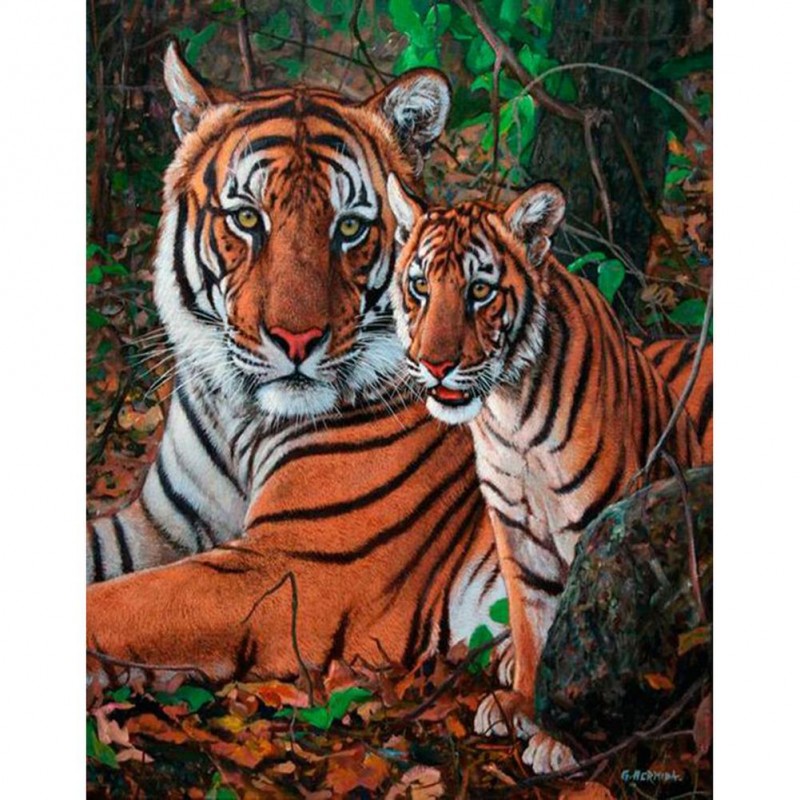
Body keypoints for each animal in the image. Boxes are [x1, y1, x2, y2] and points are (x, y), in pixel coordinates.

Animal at [86, 46, 508, 688]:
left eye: (350, 227)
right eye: (247, 219)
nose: (296, 338)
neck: (240, 416)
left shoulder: (292, 563)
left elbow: (117, 606)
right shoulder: (158, 525)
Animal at [386, 175, 712, 772]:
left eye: (480, 291)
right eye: (419, 286)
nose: (435, 364)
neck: (509, 413)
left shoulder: (599, 522)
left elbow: (588, 634)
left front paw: (562, 738)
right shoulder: (514, 525)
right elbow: (533, 616)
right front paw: (522, 703)